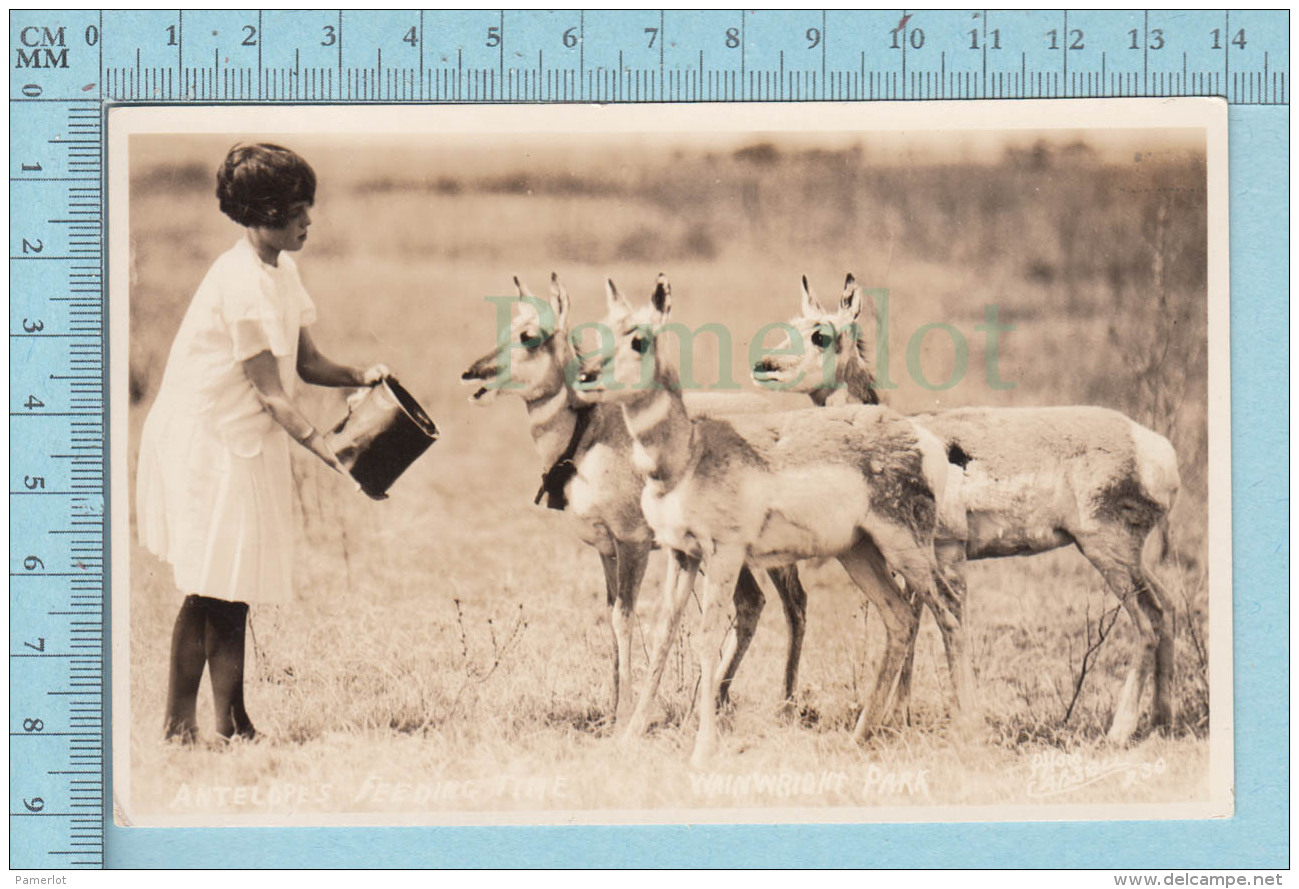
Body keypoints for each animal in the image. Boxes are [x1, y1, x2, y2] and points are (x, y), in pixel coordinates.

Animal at [459, 274, 810, 727]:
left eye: (528, 335)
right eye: (504, 329)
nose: (472, 374)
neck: (593, 433)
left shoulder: (633, 545)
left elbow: (625, 617)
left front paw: (624, 712)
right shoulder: (606, 550)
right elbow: (612, 618)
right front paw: (612, 709)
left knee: (794, 604)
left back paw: (784, 704)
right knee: (752, 603)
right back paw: (714, 701)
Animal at [574, 272, 971, 764]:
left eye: (639, 340)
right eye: (604, 331)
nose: (586, 375)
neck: (688, 454)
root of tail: (921, 437)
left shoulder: (724, 555)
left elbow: (707, 635)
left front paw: (703, 747)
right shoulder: (682, 555)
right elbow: (664, 632)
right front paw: (629, 737)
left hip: (906, 549)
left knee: (948, 609)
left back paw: (967, 729)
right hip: (860, 554)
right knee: (900, 617)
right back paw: (859, 736)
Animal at [753, 272, 1189, 743]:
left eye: (821, 334)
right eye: (791, 326)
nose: (764, 365)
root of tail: (1153, 446)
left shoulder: (944, 554)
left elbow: (935, 619)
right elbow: (920, 620)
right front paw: (900, 717)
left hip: (1106, 551)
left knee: (1148, 620)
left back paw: (1119, 731)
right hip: (1129, 558)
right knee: (1167, 608)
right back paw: (1162, 721)